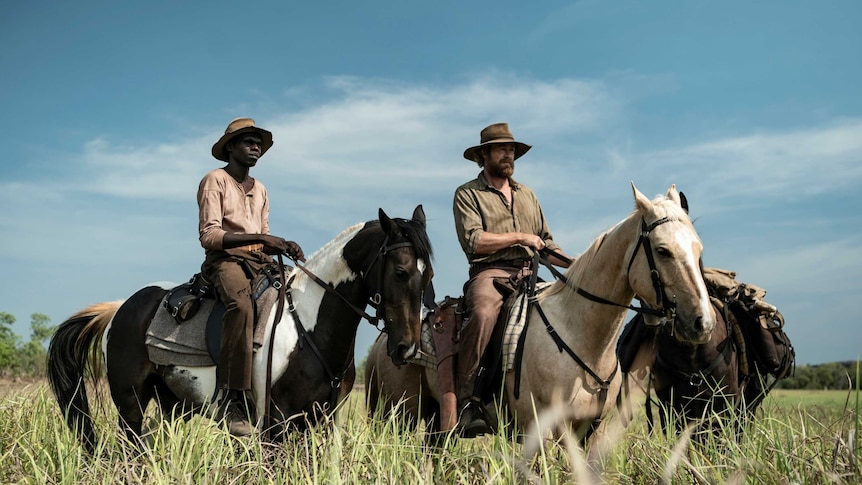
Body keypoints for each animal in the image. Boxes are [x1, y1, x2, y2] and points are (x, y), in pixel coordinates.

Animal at [45, 204, 432, 450]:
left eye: (428, 273)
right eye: (400, 271)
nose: (406, 348)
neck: (308, 328)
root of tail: (120, 308)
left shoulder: (321, 420)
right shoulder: (276, 423)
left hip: (172, 404)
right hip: (130, 403)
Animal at [368, 182, 720, 442]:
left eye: (698, 249)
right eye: (662, 250)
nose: (702, 323)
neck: (580, 338)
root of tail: (386, 342)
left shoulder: (590, 432)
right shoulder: (540, 434)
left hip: (433, 422)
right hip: (398, 416)